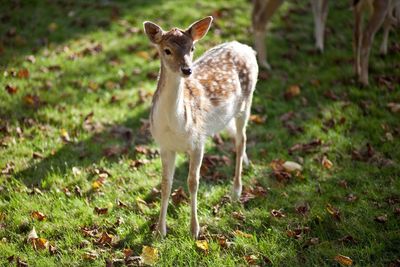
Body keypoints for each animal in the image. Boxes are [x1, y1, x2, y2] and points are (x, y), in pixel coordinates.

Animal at [144, 16, 260, 239]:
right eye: (167, 50)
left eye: (192, 48)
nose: (187, 70)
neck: (175, 126)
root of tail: (247, 48)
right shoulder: (164, 145)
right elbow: (165, 184)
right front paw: (160, 231)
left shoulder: (198, 140)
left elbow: (193, 182)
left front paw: (194, 230)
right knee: (235, 136)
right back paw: (247, 163)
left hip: (246, 102)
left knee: (241, 139)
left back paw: (236, 191)